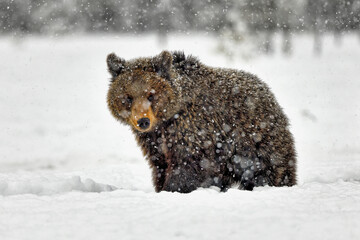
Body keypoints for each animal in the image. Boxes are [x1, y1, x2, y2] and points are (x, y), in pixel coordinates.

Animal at [105, 51, 296, 193]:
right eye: (128, 97)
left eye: (151, 95)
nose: (143, 121)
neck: (166, 120)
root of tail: (268, 92)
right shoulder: (155, 142)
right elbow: (160, 166)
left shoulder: (193, 133)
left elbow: (186, 167)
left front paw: (172, 189)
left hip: (256, 141)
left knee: (271, 170)